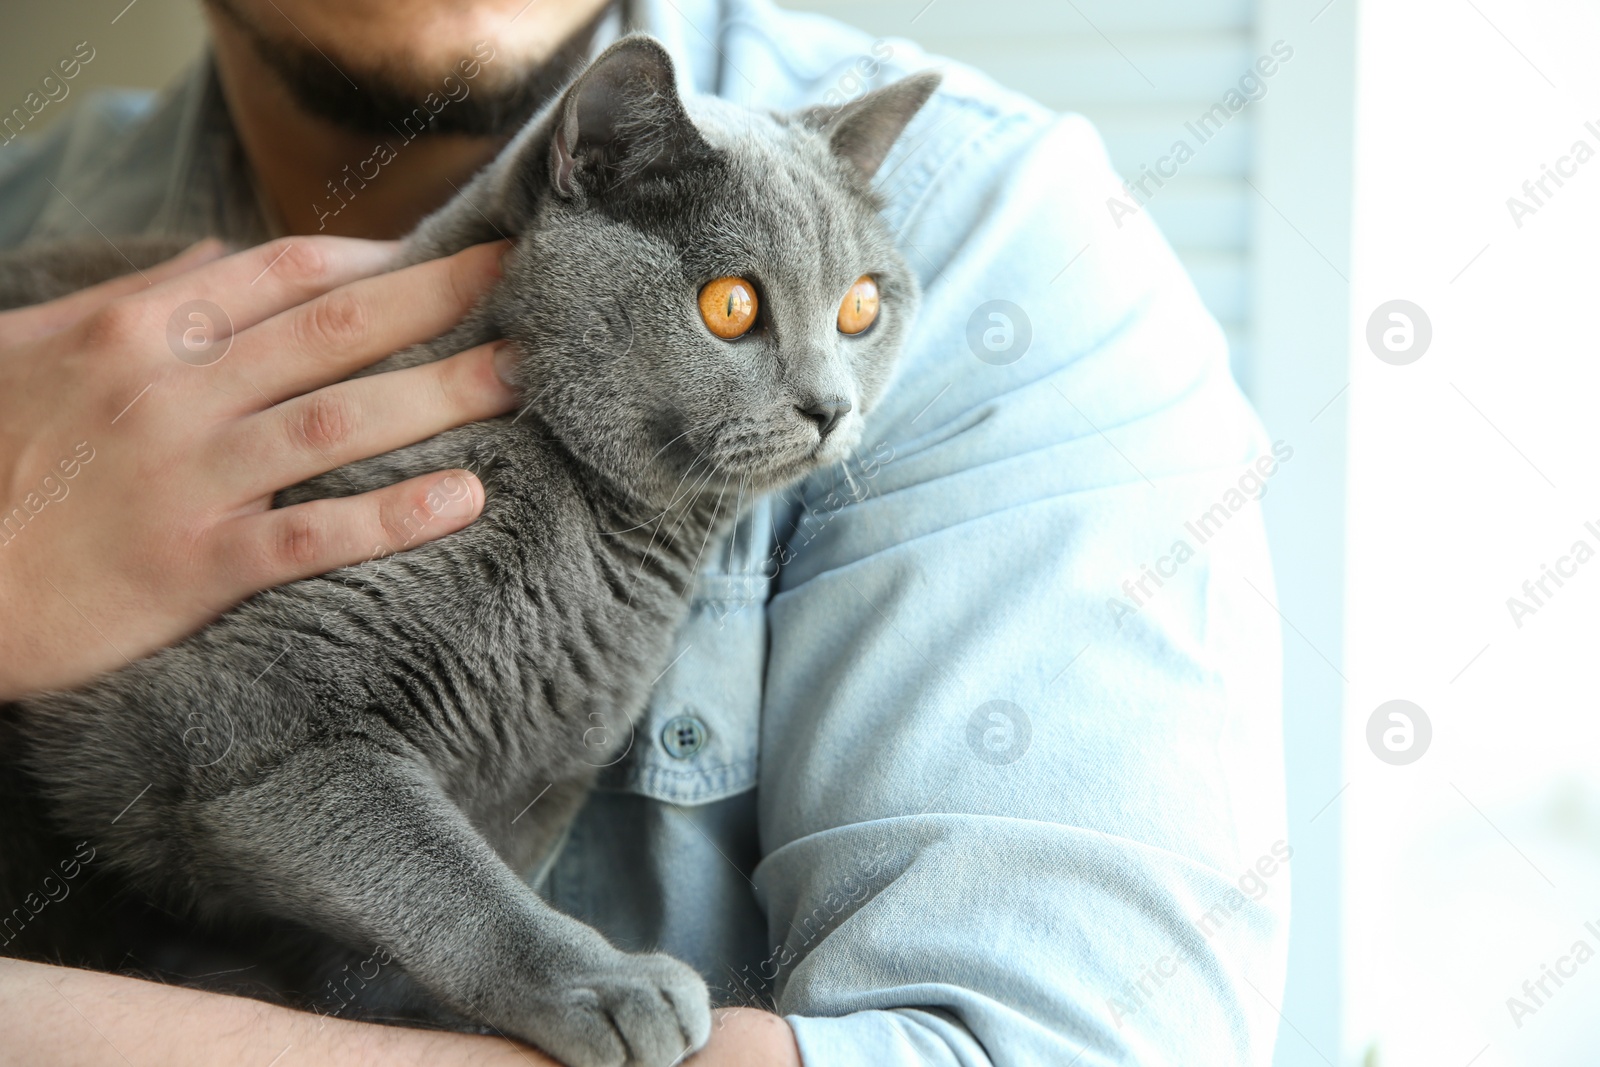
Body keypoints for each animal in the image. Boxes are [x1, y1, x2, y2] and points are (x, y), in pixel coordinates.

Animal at [0, 33, 934, 1067]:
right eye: (730, 305)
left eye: (860, 308)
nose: (831, 405)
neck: (605, 559)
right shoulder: (257, 724)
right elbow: (442, 876)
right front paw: (606, 983)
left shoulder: (545, 787)